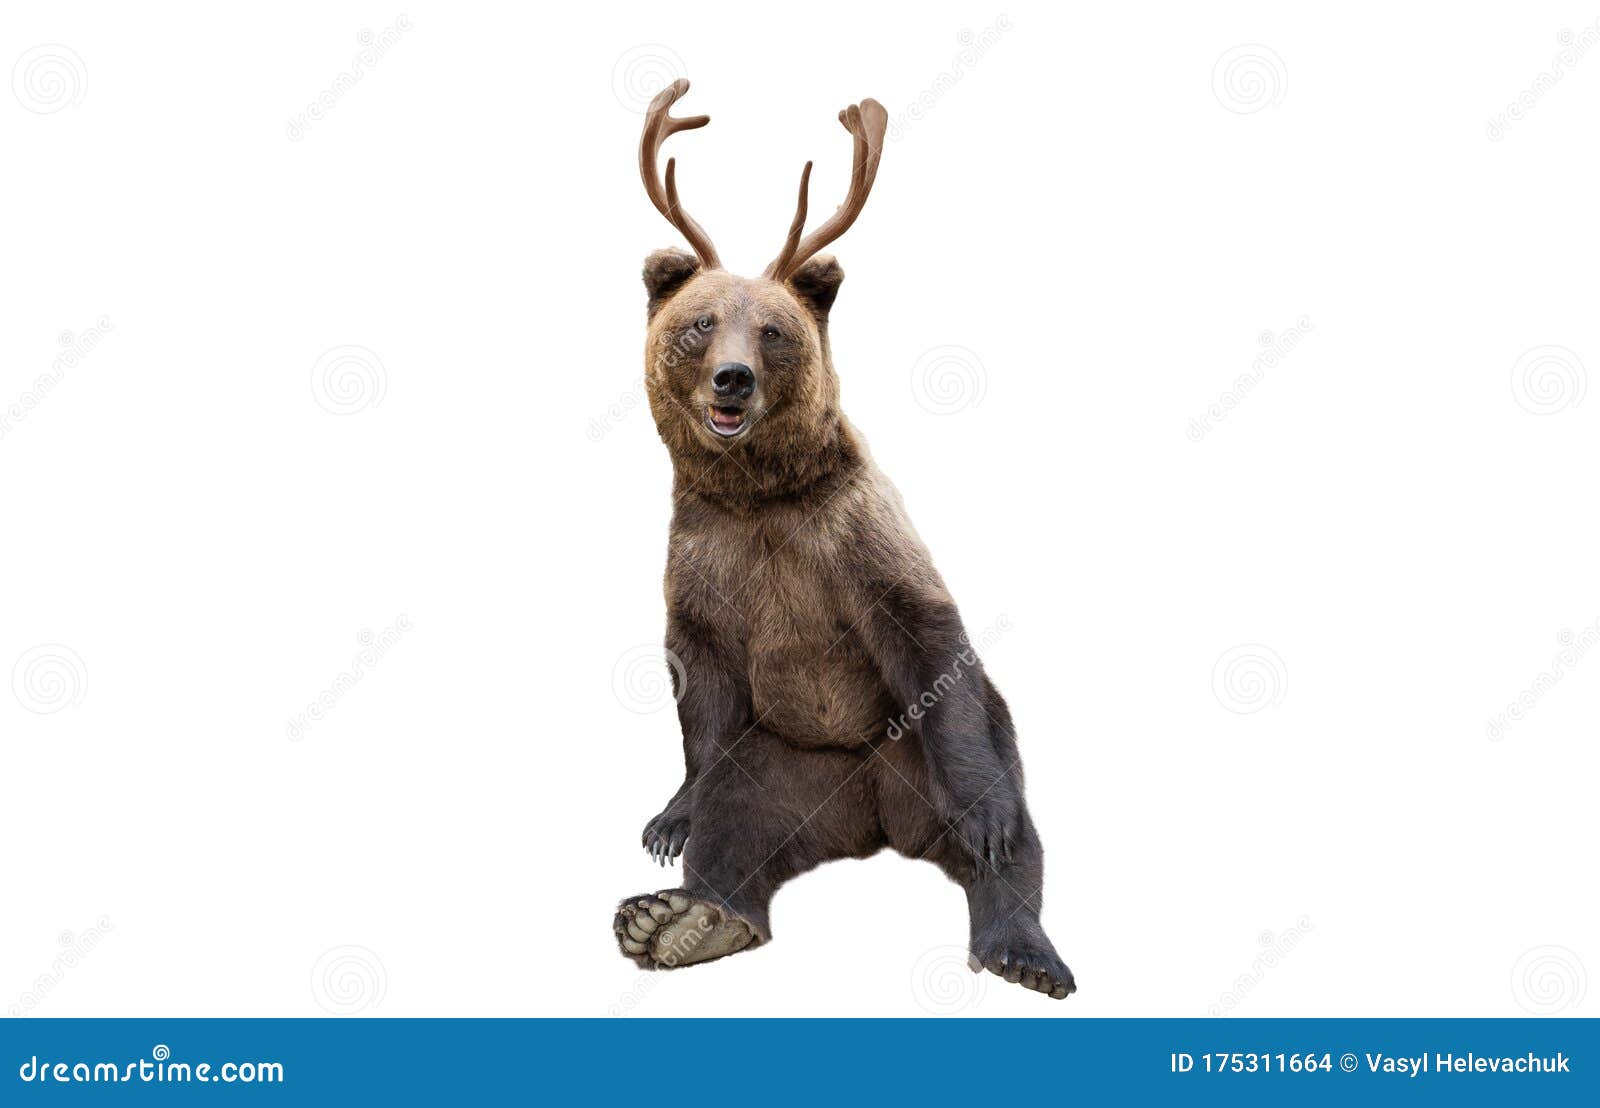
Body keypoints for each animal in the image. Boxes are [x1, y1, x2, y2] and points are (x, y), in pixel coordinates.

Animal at [613, 80, 1074, 1000]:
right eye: (701, 322)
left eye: (773, 329)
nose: (732, 380)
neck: (760, 495)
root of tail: (872, 825)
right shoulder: (704, 560)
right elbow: (699, 691)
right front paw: (668, 822)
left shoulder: (854, 540)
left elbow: (930, 634)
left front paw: (993, 830)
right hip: (788, 767)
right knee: (735, 815)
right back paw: (685, 919)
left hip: (916, 758)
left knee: (1013, 821)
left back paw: (1024, 952)